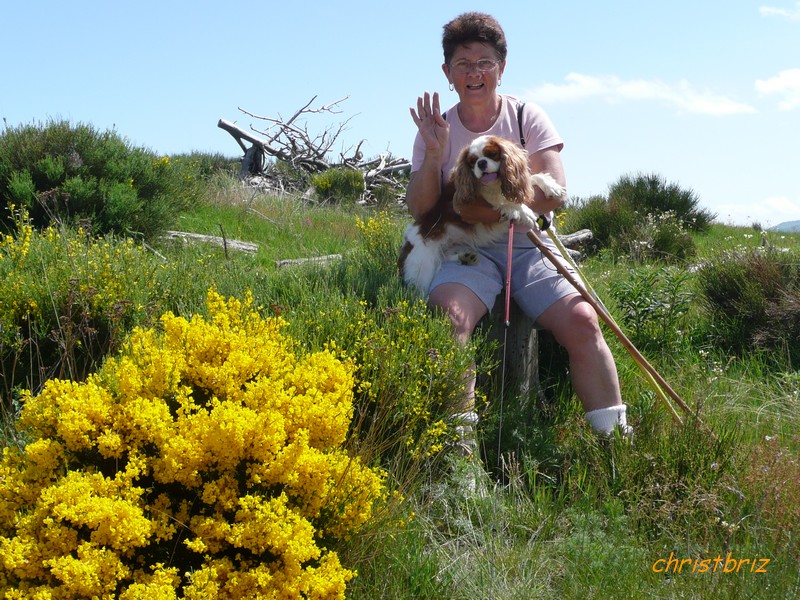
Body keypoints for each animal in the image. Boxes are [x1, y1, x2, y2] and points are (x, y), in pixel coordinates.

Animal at [396, 137, 564, 296]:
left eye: (492, 154)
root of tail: (406, 243)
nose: (481, 163)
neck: (494, 185)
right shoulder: (467, 202)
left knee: (445, 257)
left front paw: (550, 185)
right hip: (424, 266)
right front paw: (522, 210)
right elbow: (501, 203)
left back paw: (465, 257)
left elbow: (531, 179)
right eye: (472, 162)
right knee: (419, 296)